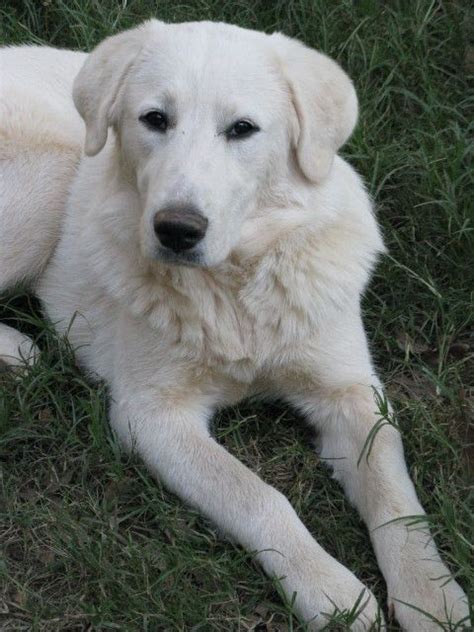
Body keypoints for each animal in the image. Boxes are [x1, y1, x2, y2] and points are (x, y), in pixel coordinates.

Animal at [0, 21, 468, 632]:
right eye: (155, 119)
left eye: (242, 129)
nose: (177, 229)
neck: (234, 288)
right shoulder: (151, 416)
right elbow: (259, 497)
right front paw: (330, 592)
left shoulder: (352, 393)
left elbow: (397, 499)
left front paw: (432, 595)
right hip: (51, 172)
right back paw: (17, 351)